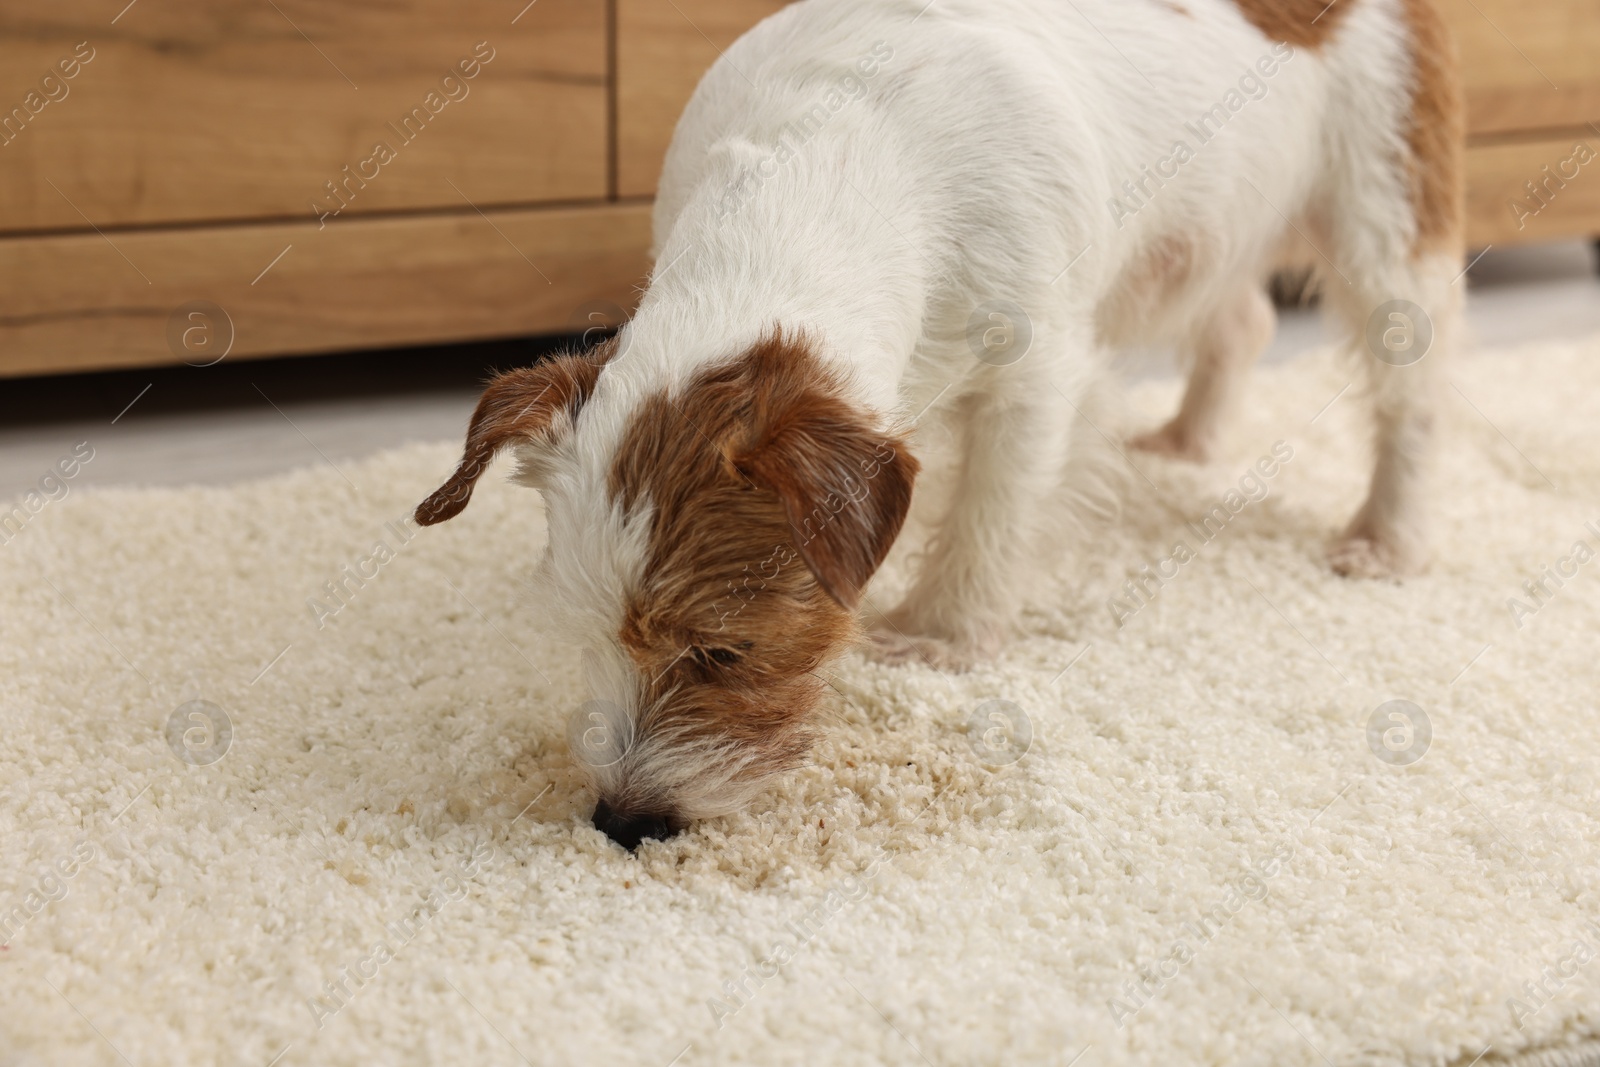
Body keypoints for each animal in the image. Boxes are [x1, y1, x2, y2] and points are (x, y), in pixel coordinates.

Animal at [416, 0, 1465, 851]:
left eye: (722, 651)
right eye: (578, 634)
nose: (625, 822)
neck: (839, 153)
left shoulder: (1037, 381)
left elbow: (991, 510)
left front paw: (945, 635)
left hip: (1381, 206)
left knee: (1416, 388)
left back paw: (1391, 535)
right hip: (1205, 231)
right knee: (1242, 316)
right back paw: (1190, 442)